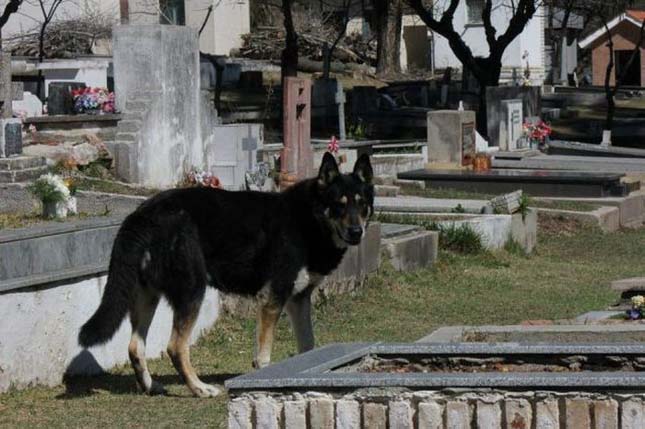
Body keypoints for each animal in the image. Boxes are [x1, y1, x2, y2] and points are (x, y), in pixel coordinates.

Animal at [78, 152, 374, 396]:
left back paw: (152, 387)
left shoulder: (298, 300)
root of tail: (141, 215)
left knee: (135, 347)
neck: (309, 218)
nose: (356, 233)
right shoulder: (273, 298)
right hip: (192, 292)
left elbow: (308, 345)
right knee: (175, 347)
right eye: (339, 204)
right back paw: (199, 388)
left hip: (148, 297)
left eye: (361, 204)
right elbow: (264, 354)